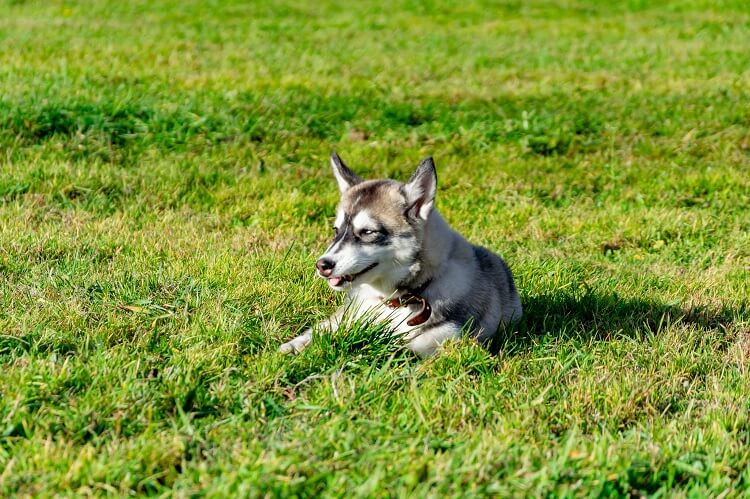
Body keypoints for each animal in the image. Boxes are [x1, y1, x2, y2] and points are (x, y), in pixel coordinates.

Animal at [280, 154, 524, 358]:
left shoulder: (451, 336)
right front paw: (294, 346)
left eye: (367, 232)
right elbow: (321, 328)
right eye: (336, 230)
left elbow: (404, 347)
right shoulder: (349, 313)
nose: (322, 265)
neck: (393, 300)